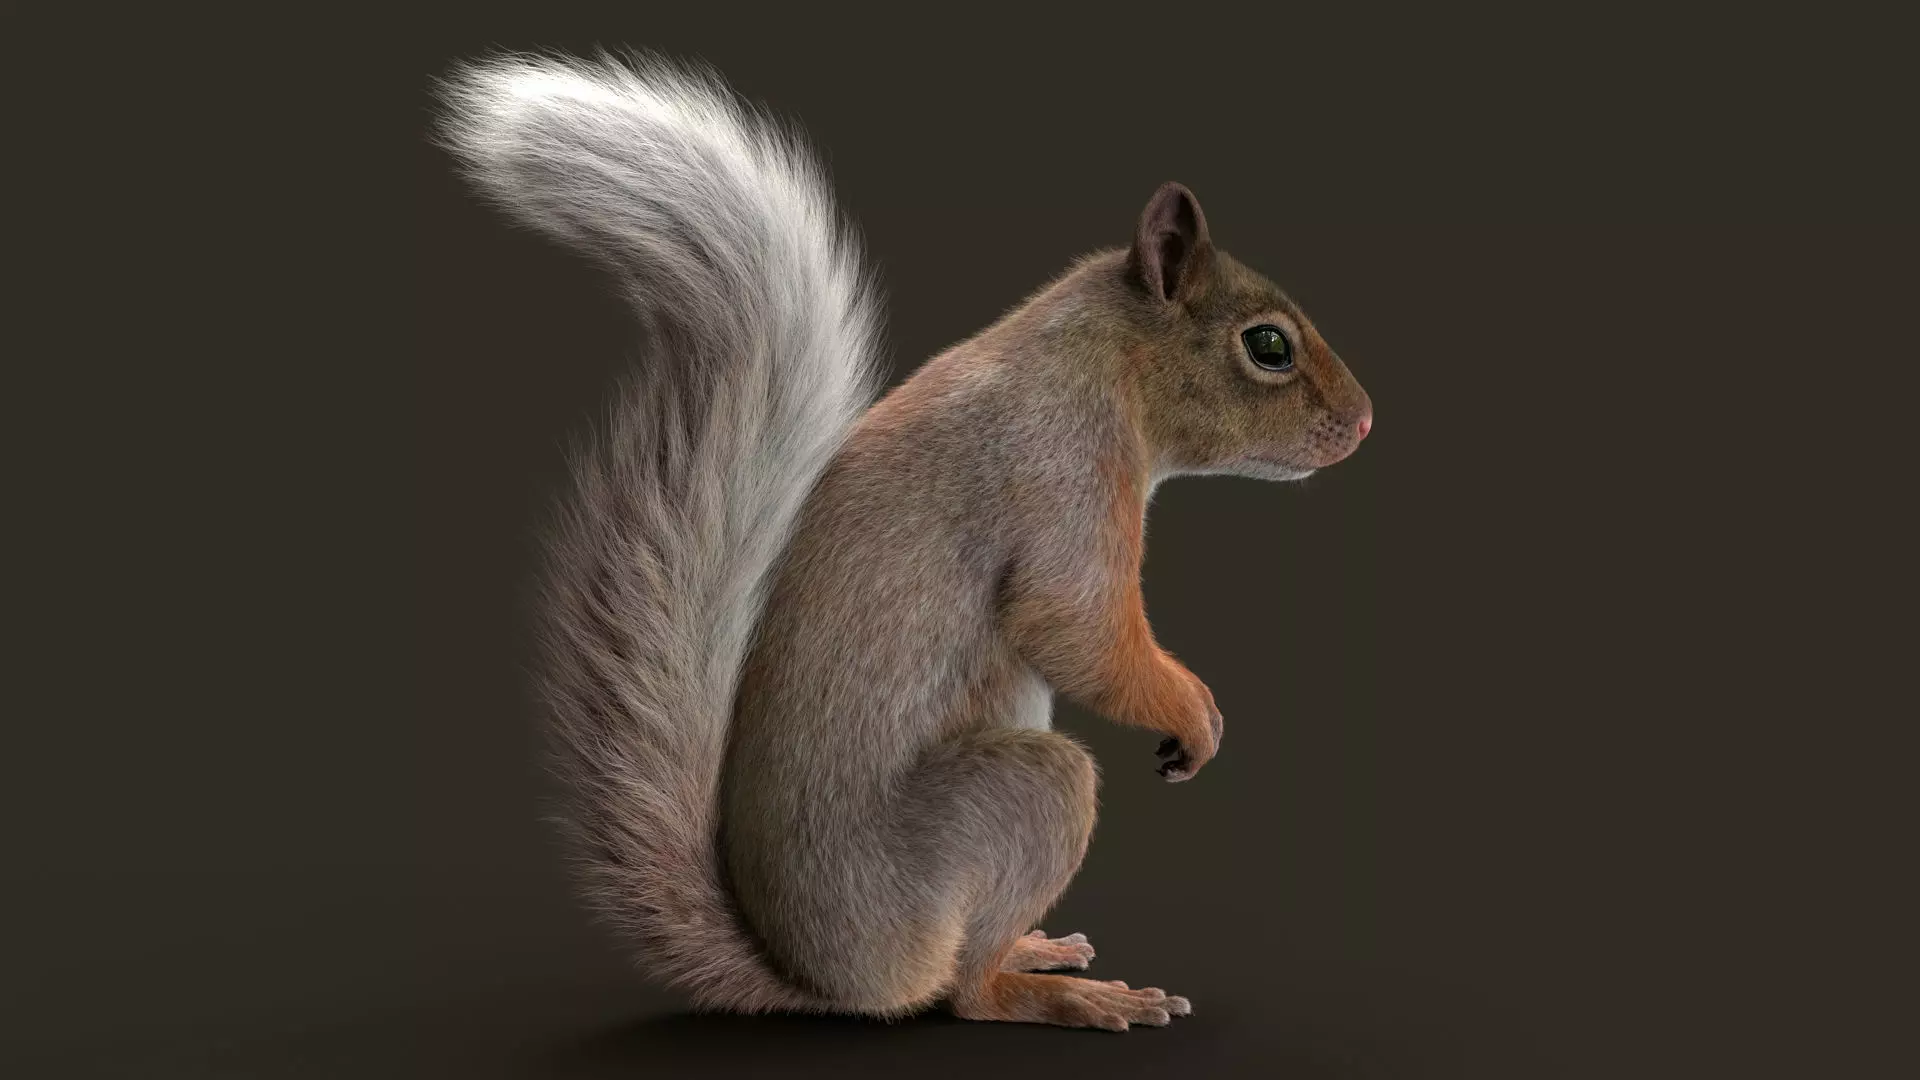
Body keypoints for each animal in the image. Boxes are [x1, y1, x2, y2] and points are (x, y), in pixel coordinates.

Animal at [437, 52, 1372, 1032]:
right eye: (1267, 346)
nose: (1365, 423)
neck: (1099, 355)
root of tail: (829, 979)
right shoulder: (1065, 472)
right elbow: (1072, 624)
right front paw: (1192, 711)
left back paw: (1038, 951)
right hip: (1009, 804)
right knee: (965, 989)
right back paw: (1052, 993)